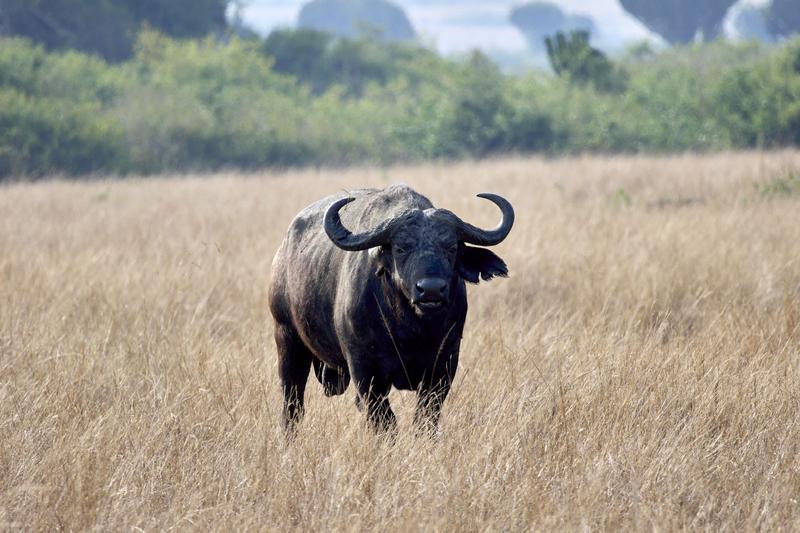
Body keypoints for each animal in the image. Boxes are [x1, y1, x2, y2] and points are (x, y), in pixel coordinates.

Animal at [268, 185, 516, 434]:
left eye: (451, 247)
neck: (411, 329)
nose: (431, 290)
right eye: (401, 248)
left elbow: (426, 417)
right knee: (292, 404)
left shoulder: (445, 364)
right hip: (287, 339)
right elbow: (385, 422)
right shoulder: (365, 369)